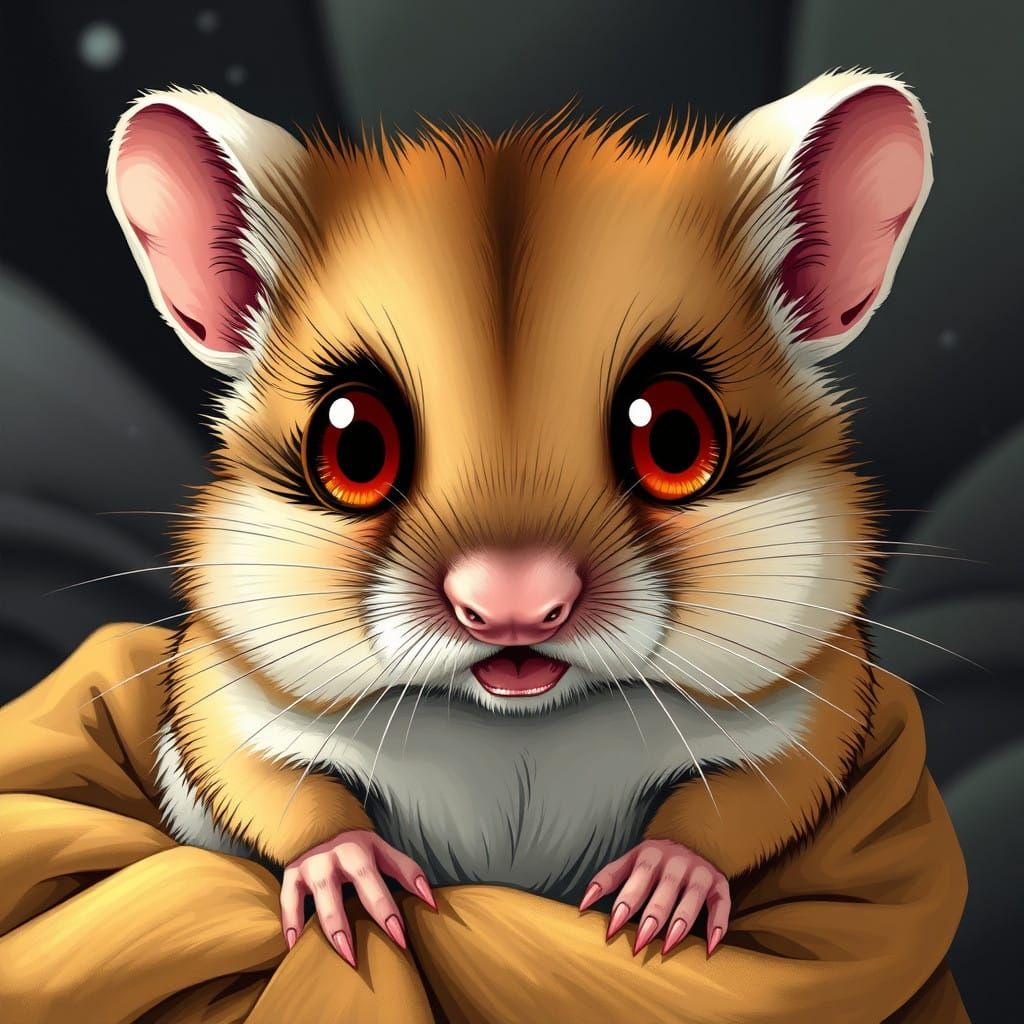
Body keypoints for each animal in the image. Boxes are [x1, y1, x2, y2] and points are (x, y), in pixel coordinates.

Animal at [106, 69, 931, 965]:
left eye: (675, 437)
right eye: (354, 445)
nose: (513, 609)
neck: (516, 729)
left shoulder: (814, 704)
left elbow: (748, 795)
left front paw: (653, 900)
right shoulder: (221, 692)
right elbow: (280, 787)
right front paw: (356, 886)